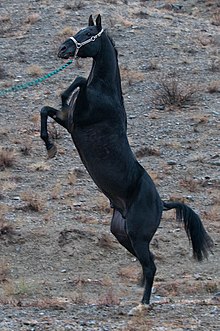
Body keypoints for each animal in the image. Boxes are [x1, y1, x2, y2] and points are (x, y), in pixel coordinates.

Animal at [40, 14, 214, 316]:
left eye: (88, 33)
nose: (63, 49)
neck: (105, 94)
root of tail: (162, 204)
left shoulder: (78, 120)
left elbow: (79, 80)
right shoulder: (67, 121)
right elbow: (46, 110)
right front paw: (49, 147)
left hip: (137, 236)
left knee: (151, 265)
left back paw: (142, 305)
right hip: (123, 235)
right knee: (149, 264)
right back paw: (141, 297)